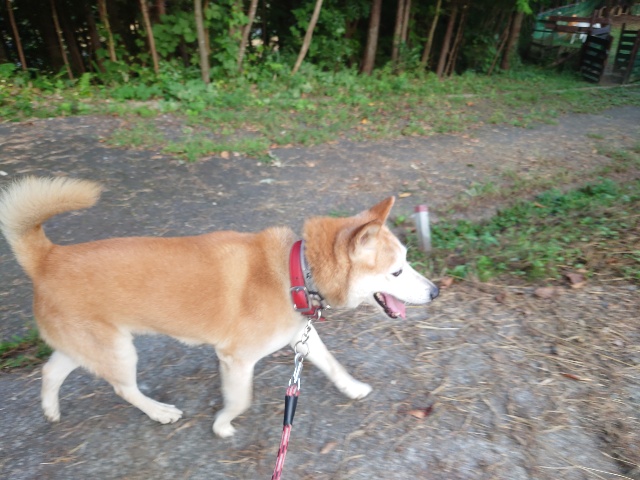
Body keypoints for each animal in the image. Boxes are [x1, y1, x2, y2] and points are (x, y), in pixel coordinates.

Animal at [0, 176, 439, 437]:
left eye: (406, 262)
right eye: (398, 271)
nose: (435, 291)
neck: (296, 274)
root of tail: (48, 258)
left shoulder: (301, 337)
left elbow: (332, 365)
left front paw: (352, 387)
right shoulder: (236, 359)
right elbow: (240, 400)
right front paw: (223, 424)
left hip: (88, 346)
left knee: (51, 370)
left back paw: (51, 410)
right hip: (119, 351)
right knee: (124, 388)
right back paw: (159, 411)